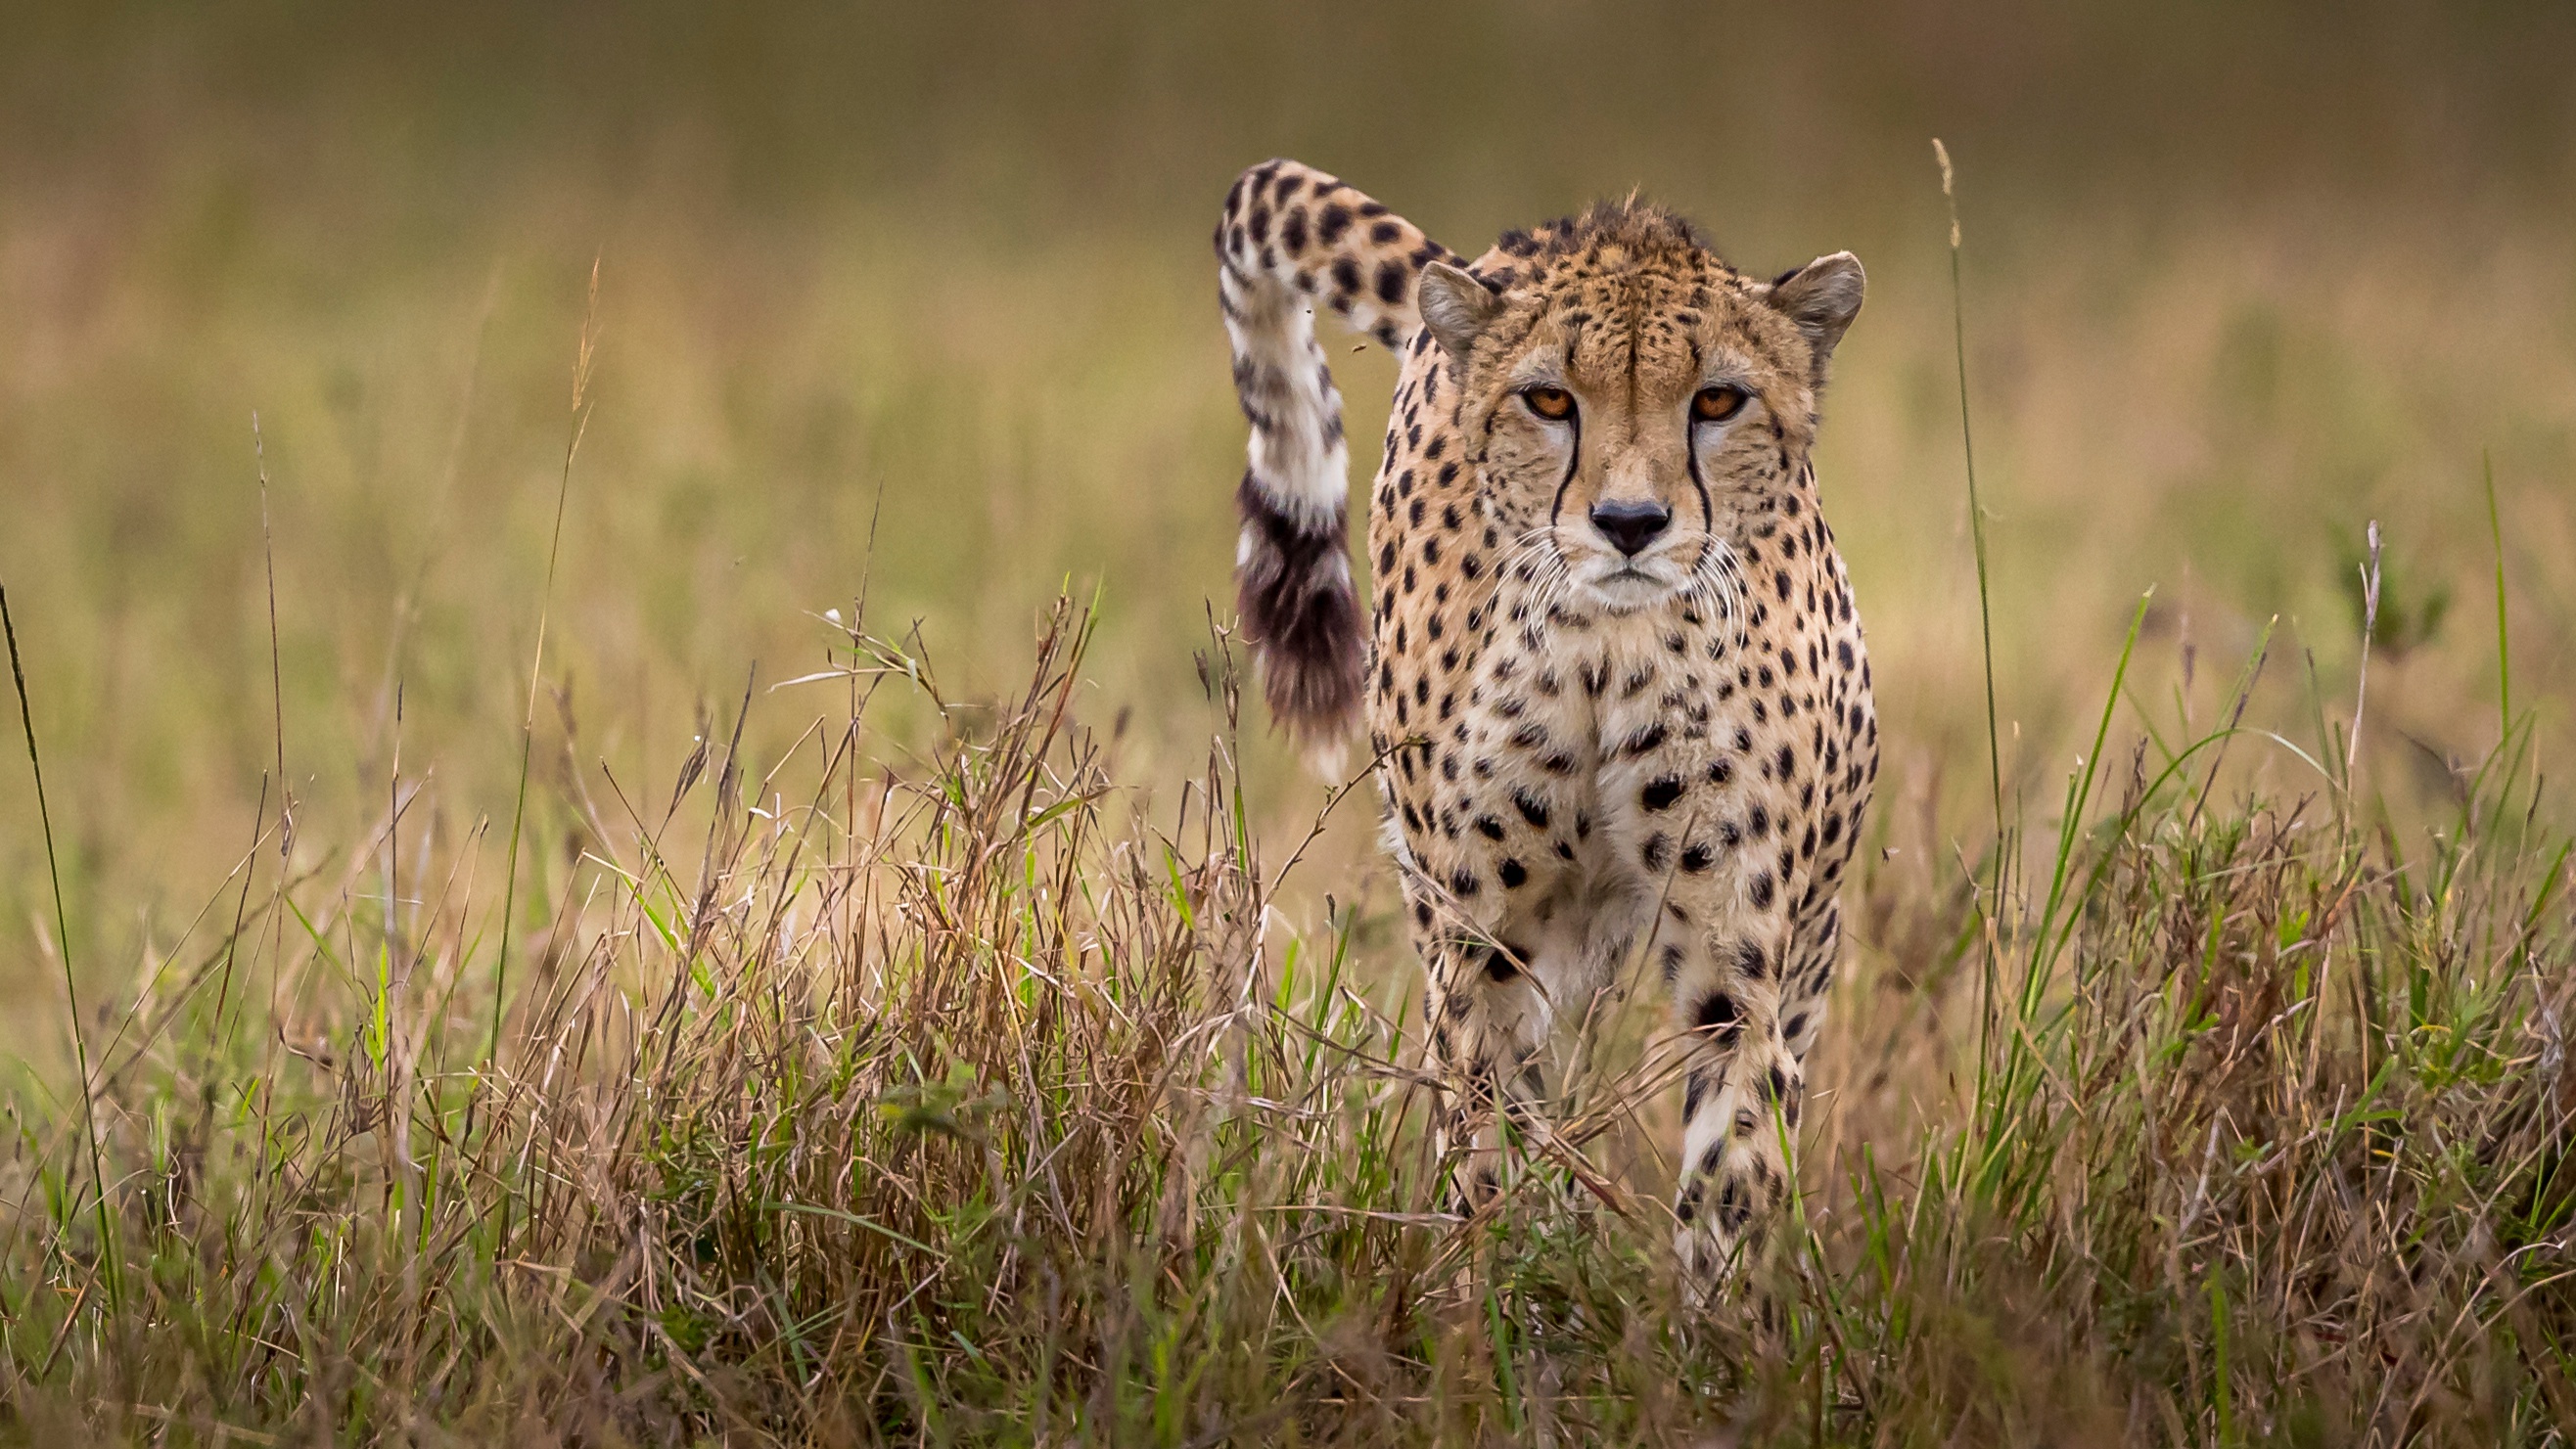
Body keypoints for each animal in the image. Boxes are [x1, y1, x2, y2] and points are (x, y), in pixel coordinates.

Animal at [1216, 156, 1885, 1282]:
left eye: (1717, 399)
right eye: (1548, 401)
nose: (1628, 523)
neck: (1608, 651)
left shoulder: (1738, 960)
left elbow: (1731, 1163)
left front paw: (1708, 1318)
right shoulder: (1484, 940)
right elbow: (1492, 1134)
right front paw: (1498, 1289)